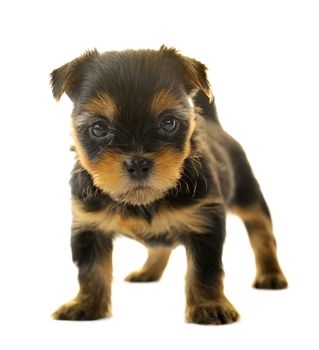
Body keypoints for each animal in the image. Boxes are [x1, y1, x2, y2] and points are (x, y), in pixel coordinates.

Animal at [51, 45, 288, 324]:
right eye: (99, 128)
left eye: (168, 123)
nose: (138, 163)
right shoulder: (88, 226)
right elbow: (91, 270)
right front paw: (86, 305)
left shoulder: (205, 222)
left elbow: (204, 270)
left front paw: (209, 306)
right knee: (159, 248)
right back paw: (147, 272)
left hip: (247, 192)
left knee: (262, 232)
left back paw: (271, 275)